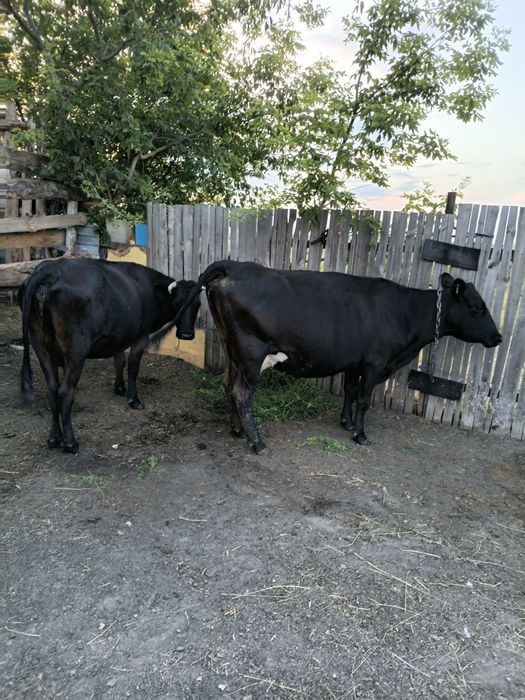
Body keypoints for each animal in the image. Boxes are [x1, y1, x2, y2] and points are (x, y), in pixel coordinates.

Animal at [19, 257, 201, 453]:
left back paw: (54, 438)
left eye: (197, 304)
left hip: (40, 344)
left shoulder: (119, 336)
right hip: (75, 348)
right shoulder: (141, 336)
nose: (186, 335)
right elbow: (133, 368)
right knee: (65, 391)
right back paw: (70, 442)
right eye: (177, 304)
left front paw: (119, 388)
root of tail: (51, 269)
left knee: (52, 388)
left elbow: (119, 362)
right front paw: (133, 399)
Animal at [174, 260, 502, 453]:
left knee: (228, 384)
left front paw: (346, 422)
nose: (498, 338)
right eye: (478, 307)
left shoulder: (355, 361)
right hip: (252, 354)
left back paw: (238, 431)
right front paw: (361, 435)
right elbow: (365, 399)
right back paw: (257, 442)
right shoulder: (375, 362)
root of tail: (232, 265)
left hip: (233, 350)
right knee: (242, 393)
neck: (404, 312)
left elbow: (349, 391)